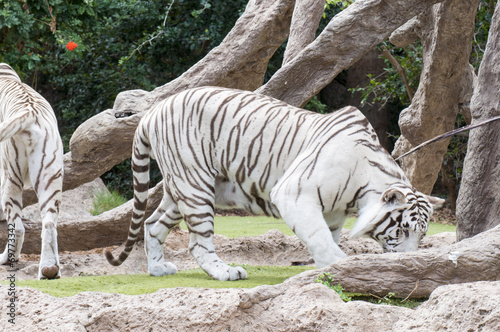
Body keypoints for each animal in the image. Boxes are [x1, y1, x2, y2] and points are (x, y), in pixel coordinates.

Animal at [0, 63, 64, 280]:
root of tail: (30, 112)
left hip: (11, 176)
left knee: (18, 227)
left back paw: (6, 259)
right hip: (50, 177)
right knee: (50, 224)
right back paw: (50, 270)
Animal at [106, 86, 446, 280]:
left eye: (423, 234)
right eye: (403, 230)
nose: (411, 261)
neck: (361, 189)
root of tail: (151, 112)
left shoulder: (333, 213)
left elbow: (326, 238)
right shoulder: (295, 193)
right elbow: (320, 239)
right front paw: (338, 267)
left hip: (184, 188)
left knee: (152, 223)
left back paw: (157, 269)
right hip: (195, 184)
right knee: (198, 243)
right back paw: (225, 272)